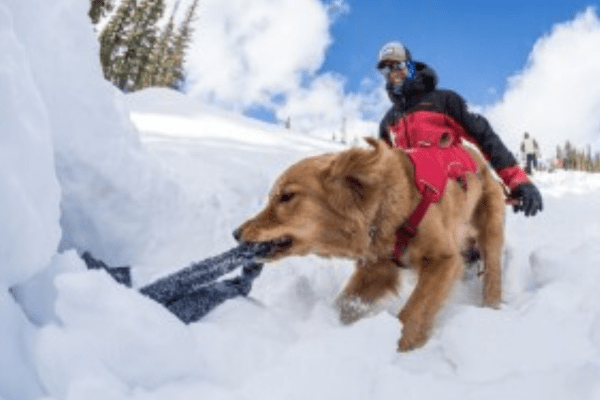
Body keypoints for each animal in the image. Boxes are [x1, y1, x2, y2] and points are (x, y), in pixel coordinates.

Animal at [232, 138, 504, 350]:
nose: (236, 233)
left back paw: (492, 306)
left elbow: (413, 312)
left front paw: (399, 349)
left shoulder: (443, 260)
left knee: (492, 272)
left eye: (287, 196)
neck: (392, 204)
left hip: (490, 230)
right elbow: (346, 304)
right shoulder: (378, 269)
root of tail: (475, 154)